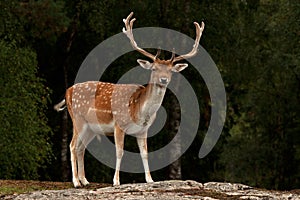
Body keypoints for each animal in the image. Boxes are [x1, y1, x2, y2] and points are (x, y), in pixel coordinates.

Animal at [54, 12, 204, 188]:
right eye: (154, 69)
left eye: (170, 71)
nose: (163, 79)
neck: (139, 110)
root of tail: (67, 91)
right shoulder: (119, 124)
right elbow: (120, 152)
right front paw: (116, 181)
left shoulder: (143, 130)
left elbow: (145, 153)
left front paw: (150, 179)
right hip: (78, 119)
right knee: (72, 146)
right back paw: (76, 182)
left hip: (91, 128)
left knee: (81, 147)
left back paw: (85, 180)